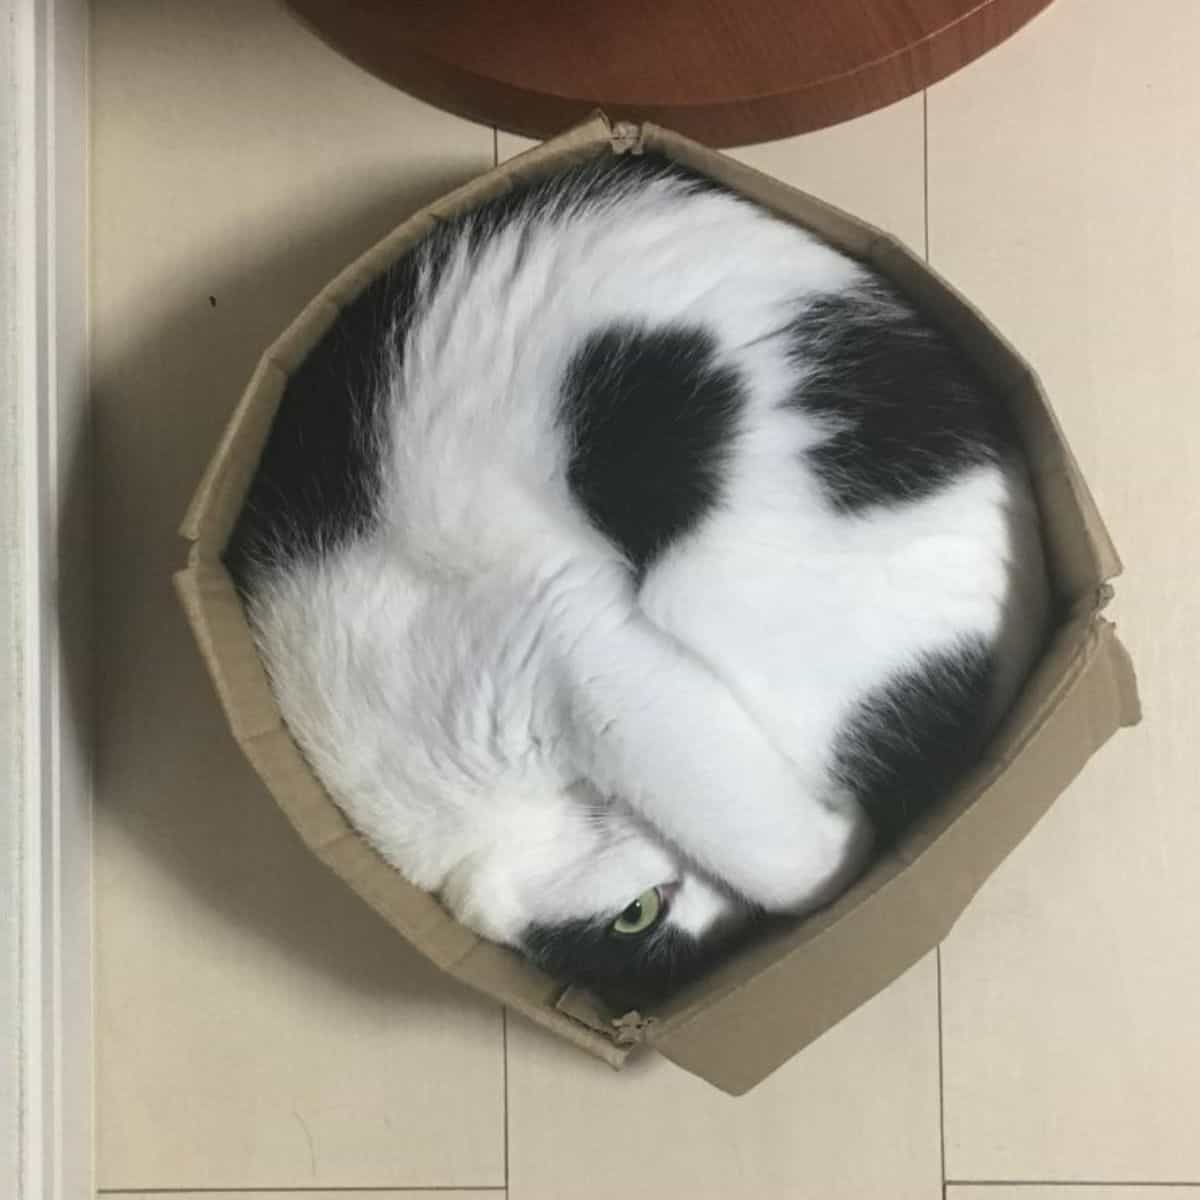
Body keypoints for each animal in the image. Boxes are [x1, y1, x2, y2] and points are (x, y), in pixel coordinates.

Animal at [226, 152, 1051, 1012]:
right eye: (638, 917)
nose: (711, 904)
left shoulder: (560, 654)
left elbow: (776, 855)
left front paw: (842, 849)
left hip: (718, 583)